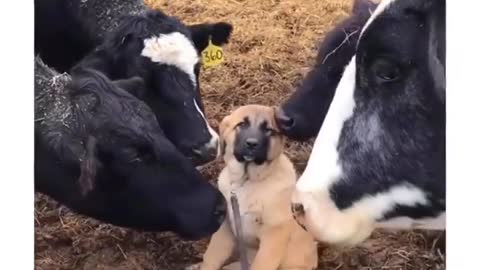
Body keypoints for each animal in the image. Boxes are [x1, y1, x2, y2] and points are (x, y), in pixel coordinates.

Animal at [197, 105, 316, 270]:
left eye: (268, 130)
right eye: (241, 125)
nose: (252, 144)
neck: (246, 181)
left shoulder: (273, 236)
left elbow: (261, 264)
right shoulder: (225, 228)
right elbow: (211, 257)